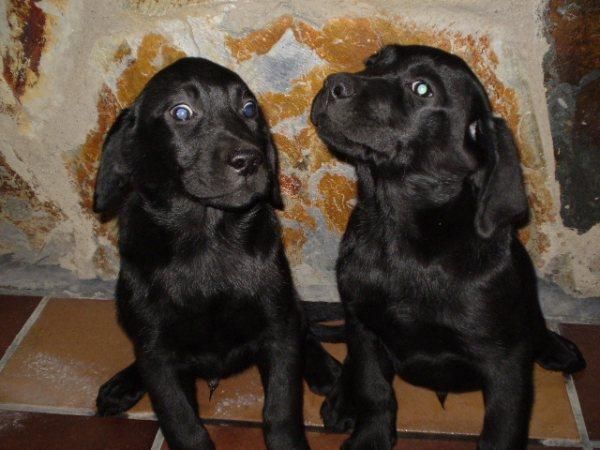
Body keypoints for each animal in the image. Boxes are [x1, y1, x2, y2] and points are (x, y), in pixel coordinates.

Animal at [91, 58, 340, 450]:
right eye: (181, 112)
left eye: (249, 109)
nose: (250, 161)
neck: (207, 237)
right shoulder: (158, 356)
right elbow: (183, 424)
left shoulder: (277, 329)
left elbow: (281, 411)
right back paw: (122, 384)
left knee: (304, 325)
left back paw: (325, 369)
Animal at [310, 45, 584, 450]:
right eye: (373, 63)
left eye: (422, 89)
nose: (332, 84)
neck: (405, 237)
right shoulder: (365, 327)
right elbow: (374, 391)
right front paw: (369, 437)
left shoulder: (505, 366)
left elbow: (502, 430)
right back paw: (342, 398)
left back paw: (554, 346)